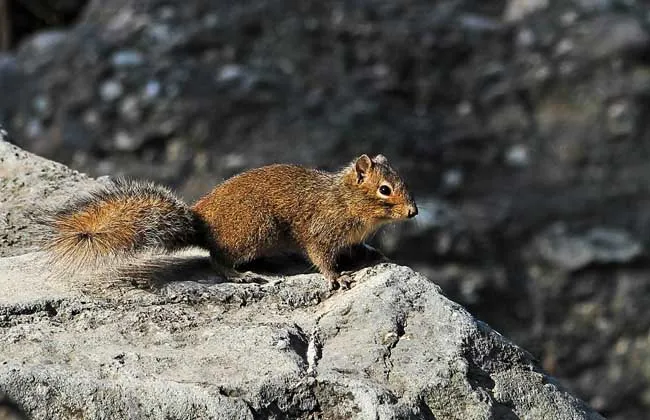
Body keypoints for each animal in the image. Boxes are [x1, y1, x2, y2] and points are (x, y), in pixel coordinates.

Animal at [41, 153, 416, 288]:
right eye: (384, 190)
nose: (414, 212)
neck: (345, 200)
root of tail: (201, 223)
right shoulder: (321, 231)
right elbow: (321, 257)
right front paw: (336, 277)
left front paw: (370, 253)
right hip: (254, 230)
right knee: (216, 259)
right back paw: (240, 275)